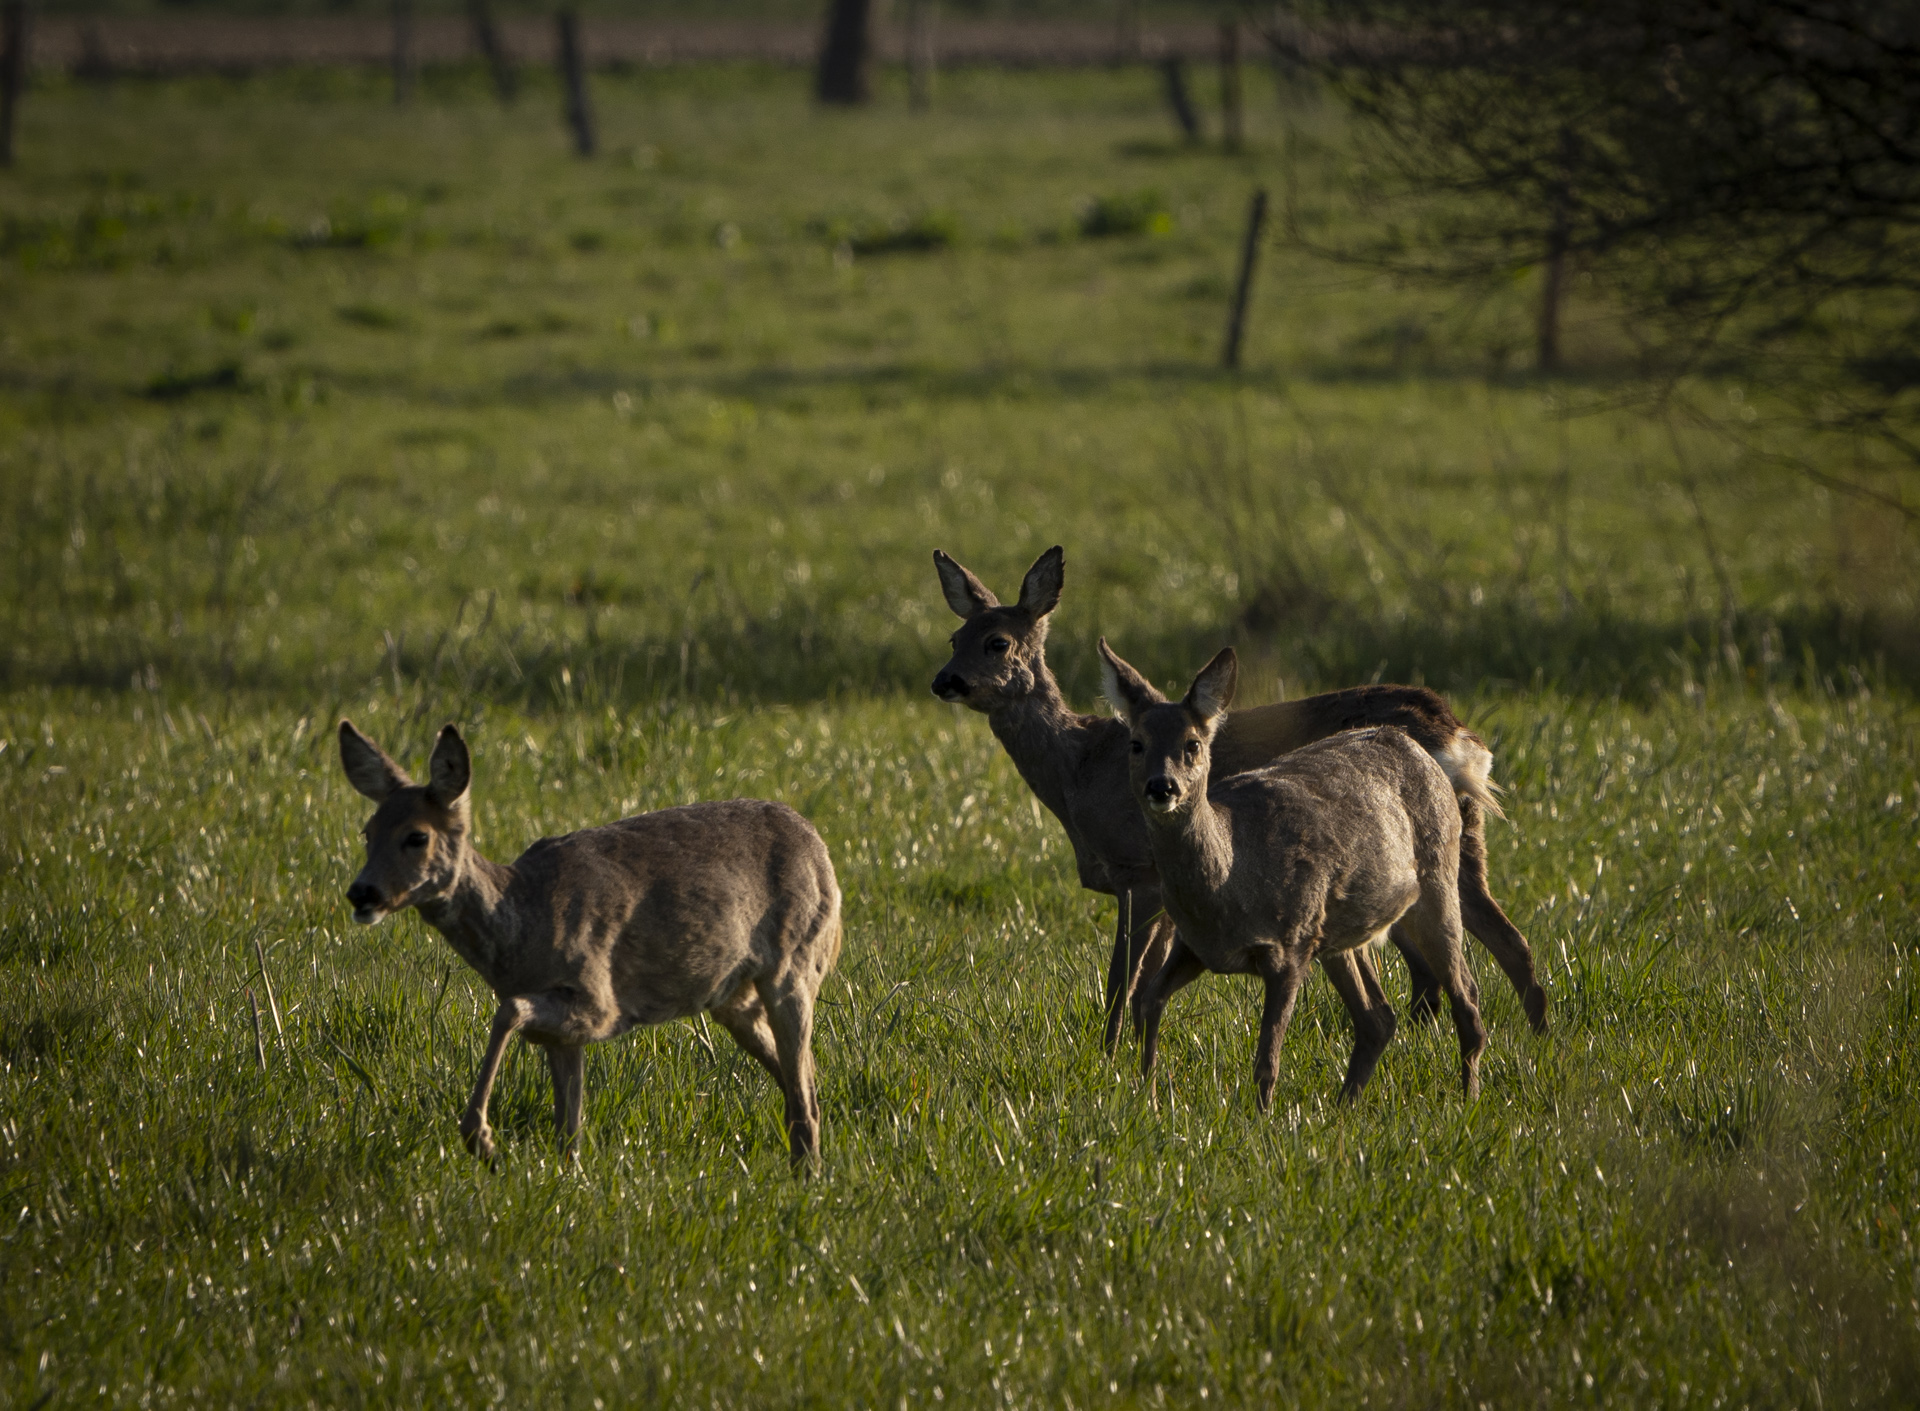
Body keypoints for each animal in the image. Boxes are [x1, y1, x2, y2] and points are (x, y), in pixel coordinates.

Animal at [336, 721, 840, 1174]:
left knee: (803, 1087)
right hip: (733, 997)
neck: (522, 925)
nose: (362, 893)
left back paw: (808, 1177)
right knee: (804, 1079)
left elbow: (509, 1012)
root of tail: (822, 851)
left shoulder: (601, 1002)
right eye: (367, 832)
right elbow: (569, 1127)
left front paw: (483, 1141)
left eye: (417, 836)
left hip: (795, 963)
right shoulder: (564, 1035)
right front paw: (568, 1179)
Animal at [925, 545, 1543, 1052]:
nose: (943, 681)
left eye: (998, 642)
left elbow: (1121, 980)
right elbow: (1143, 982)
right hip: (1447, 847)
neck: (1079, 771)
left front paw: (1107, 1058)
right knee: (1495, 948)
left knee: (1487, 949)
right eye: (954, 639)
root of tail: (1459, 737)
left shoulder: (1141, 873)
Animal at [1105, 641, 1489, 1105]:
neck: (1230, 881)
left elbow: (1267, 1060)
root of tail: (1411, 745)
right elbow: (1149, 1002)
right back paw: (1343, 1107)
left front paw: (1261, 1117)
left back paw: (1468, 1099)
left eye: (1192, 744)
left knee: (1466, 996)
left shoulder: (1290, 945)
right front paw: (1151, 1097)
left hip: (1436, 882)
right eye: (1136, 743)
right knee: (1378, 1017)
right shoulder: (1194, 947)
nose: (1162, 787)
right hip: (1340, 933)